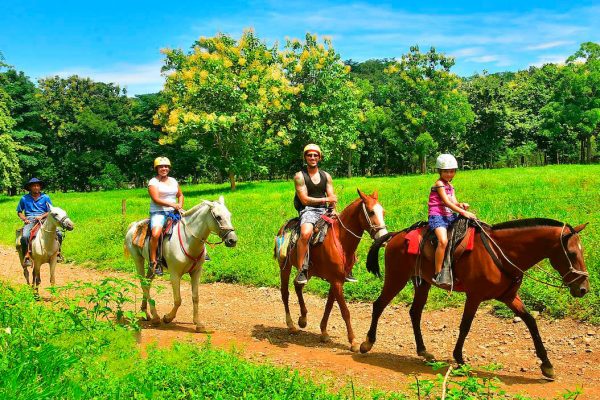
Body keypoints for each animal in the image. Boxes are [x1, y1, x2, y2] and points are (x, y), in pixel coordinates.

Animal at [124, 196, 237, 332]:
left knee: (147, 283)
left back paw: (145, 313)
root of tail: (134, 225)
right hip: (138, 259)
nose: (233, 240)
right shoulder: (174, 274)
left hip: (152, 266)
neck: (188, 240)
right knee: (144, 284)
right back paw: (155, 317)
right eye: (218, 217)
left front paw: (198, 324)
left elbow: (195, 297)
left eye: (229, 215)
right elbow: (178, 300)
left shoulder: (196, 273)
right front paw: (168, 318)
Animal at [276, 189, 390, 352]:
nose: (384, 238)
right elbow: (345, 311)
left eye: (383, 212)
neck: (341, 240)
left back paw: (303, 319)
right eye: (371, 212)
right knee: (285, 293)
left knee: (298, 285)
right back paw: (291, 325)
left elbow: (329, 307)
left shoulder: (336, 280)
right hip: (284, 267)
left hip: (308, 271)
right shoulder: (336, 281)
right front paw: (353, 341)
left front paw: (324, 332)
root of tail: (284, 227)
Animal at [358, 219, 588, 378]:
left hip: (422, 282)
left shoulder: (509, 296)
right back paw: (367, 343)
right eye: (572, 253)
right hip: (396, 278)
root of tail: (397, 235)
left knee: (415, 312)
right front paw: (459, 358)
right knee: (379, 305)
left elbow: (531, 322)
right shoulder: (474, 296)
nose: (584, 289)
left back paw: (423, 351)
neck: (502, 251)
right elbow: (465, 326)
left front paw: (547, 365)